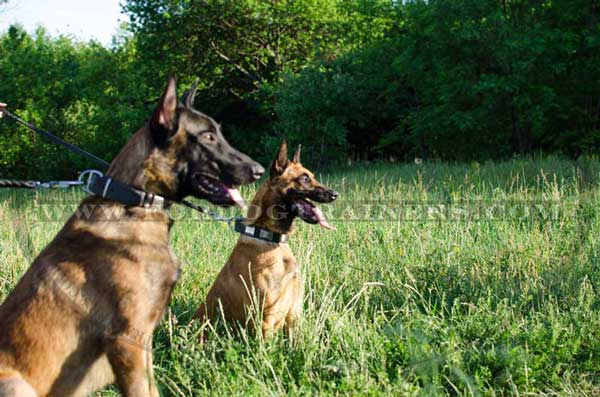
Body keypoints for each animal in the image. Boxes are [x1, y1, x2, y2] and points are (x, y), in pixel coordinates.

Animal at [0, 77, 264, 396]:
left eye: (219, 134)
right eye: (208, 137)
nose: (259, 170)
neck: (135, 203)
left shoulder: (143, 342)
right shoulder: (126, 341)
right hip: (14, 383)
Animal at [196, 142, 338, 338]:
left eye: (312, 177)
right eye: (304, 179)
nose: (335, 194)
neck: (269, 237)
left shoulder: (293, 313)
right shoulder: (266, 319)